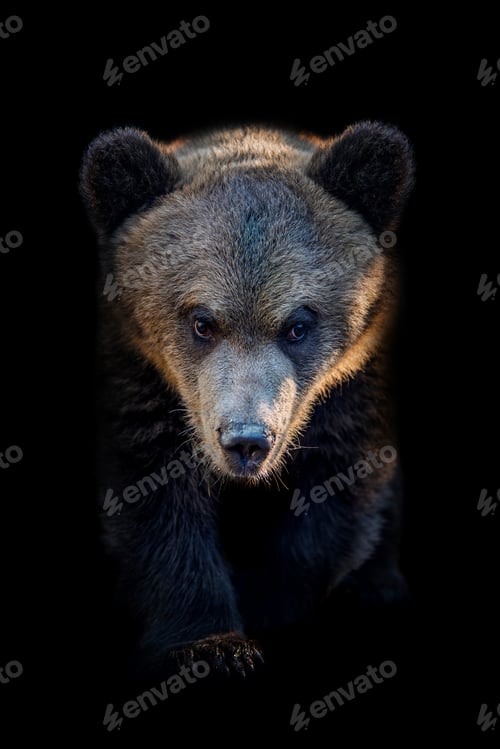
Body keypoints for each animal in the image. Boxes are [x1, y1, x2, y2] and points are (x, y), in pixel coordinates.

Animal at [80, 121, 414, 680]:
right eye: (201, 322)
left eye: (298, 325)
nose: (247, 441)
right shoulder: (139, 379)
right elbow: (155, 502)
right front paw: (212, 646)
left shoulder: (353, 386)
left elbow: (337, 496)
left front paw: (266, 610)